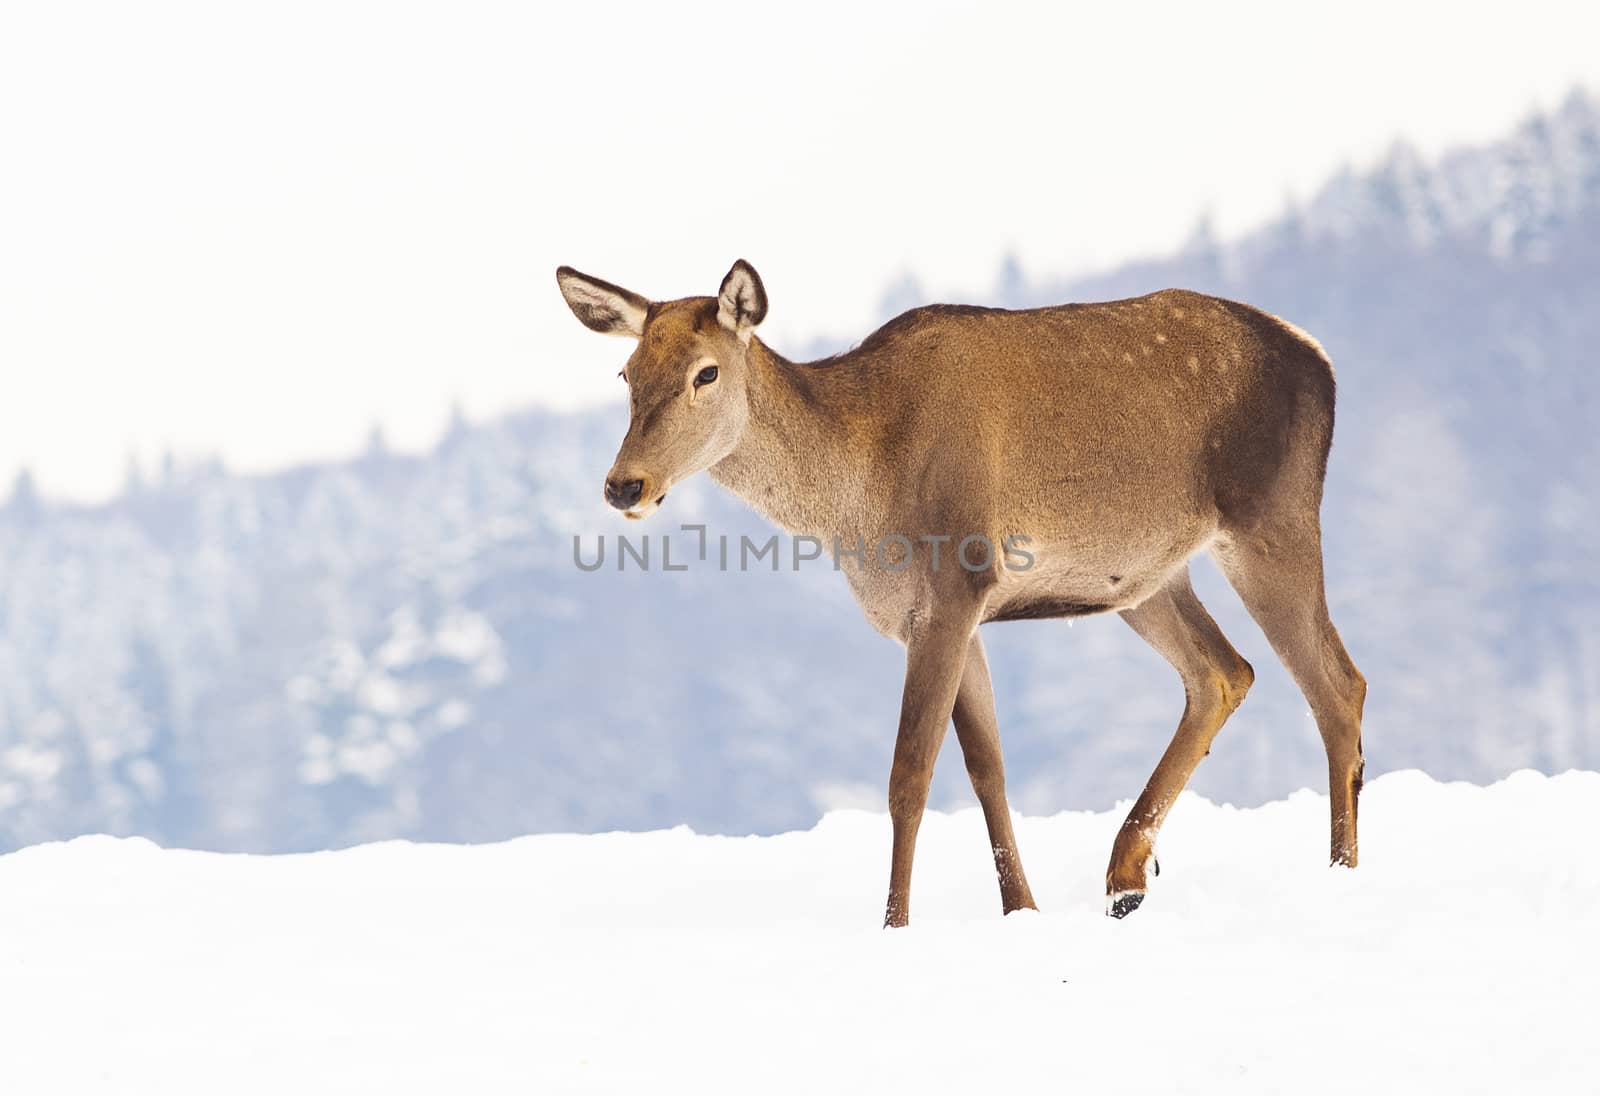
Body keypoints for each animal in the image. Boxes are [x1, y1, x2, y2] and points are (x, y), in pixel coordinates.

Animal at [556, 256, 1369, 921]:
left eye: (706, 372)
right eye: (627, 375)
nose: (625, 484)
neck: (855, 500)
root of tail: (1321, 358)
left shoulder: (953, 586)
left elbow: (909, 774)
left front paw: (894, 923)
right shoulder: (950, 616)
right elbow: (988, 769)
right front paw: (1021, 910)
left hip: (1269, 516)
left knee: (1337, 684)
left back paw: (1339, 873)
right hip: (1146, 576)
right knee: (1224, 672)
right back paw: (1127, 874)